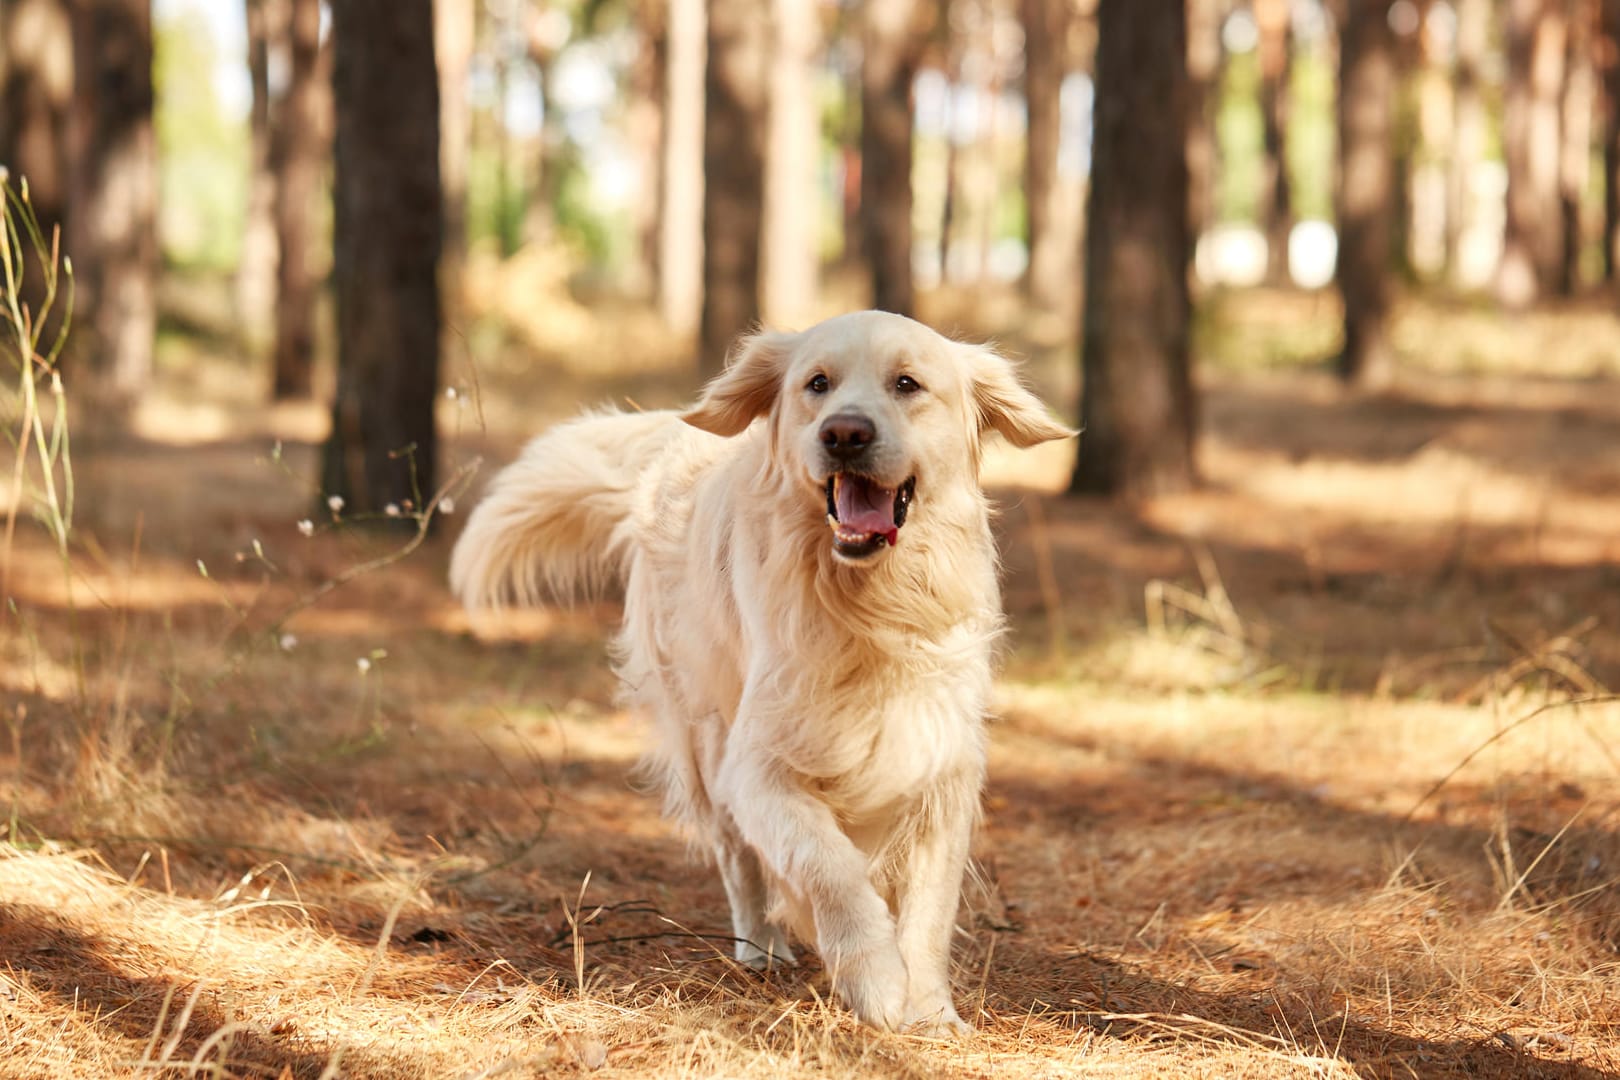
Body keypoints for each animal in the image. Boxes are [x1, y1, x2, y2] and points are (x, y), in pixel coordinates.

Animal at [450, 307, 1069, 1036]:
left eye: (907, 384)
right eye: (817, 384)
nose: (845, 433)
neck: (867, 606)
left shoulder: (940, 766)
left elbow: (928, 909)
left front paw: (930, 1011)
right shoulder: (759, 765)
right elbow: (830, 866)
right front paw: (877, 980)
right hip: (704, 735)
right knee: (736, 854)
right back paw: (760, 948)